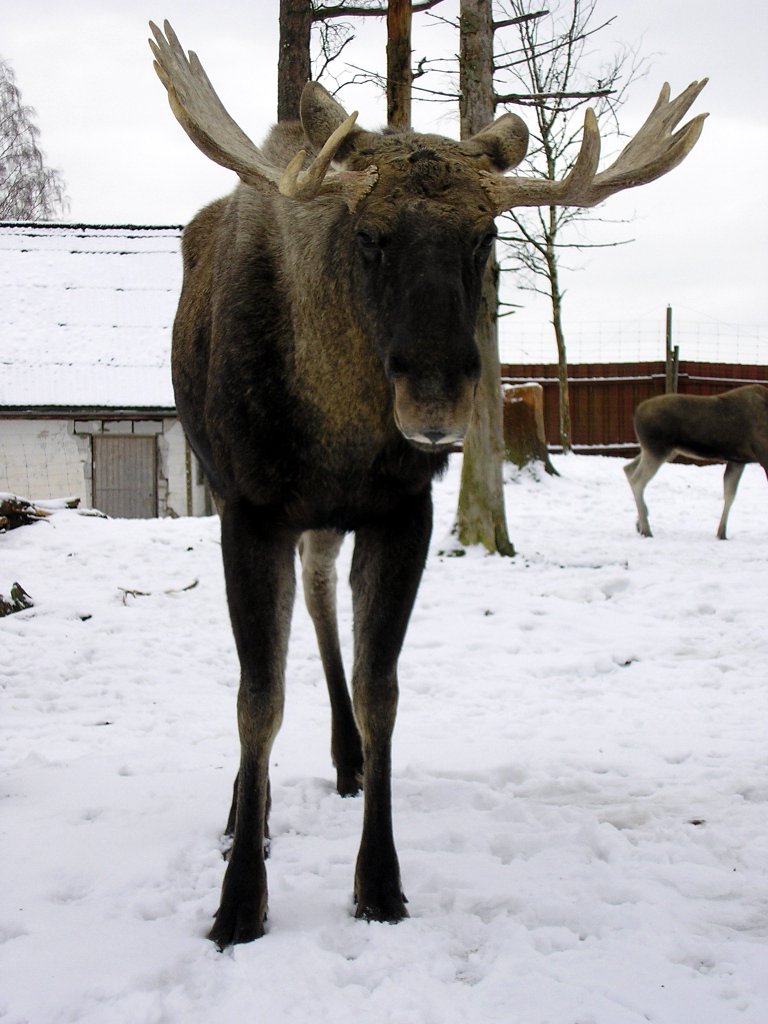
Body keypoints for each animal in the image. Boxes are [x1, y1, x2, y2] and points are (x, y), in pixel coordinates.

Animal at [626, 385, 768, 540]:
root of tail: (636, 413)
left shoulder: (738, 460)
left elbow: (729, 494)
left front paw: (721, 533)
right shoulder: (761, 456)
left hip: (661, 451)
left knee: (628, 468)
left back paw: (640, 523)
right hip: (658, 450)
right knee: (637, 480)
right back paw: (646, 529)